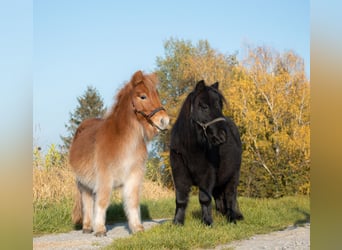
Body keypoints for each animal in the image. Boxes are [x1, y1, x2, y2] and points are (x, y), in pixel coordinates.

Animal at [69, 70, 170, 236]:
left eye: (157, 94)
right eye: (143, 96)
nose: (164, 121)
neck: (124, 142)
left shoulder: (134, 176)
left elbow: (133, 201)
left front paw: (137, 228)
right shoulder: (105, 177)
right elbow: (103, 201)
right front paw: (100, 230)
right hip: (83, 184)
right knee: (88, 202)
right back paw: (88, 227)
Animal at [170, 80, 242, 227]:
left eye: (219, 106)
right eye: (204, 106)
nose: (222, 136)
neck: (191, 148)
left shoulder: (207, 175)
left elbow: (204, 198)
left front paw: (207, 222)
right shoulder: (179, 173)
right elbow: (180, 199)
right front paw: (177, 222)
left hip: (234, 174)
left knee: (231, 196)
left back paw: (232, 218)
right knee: (220, 198)